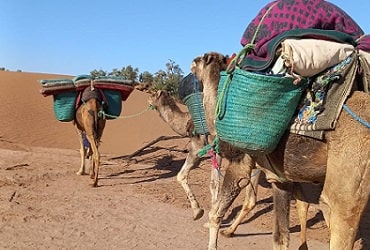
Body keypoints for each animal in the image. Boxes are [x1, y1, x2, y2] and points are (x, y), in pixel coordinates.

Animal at [191, 51, 370, 249]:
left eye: (200, 59)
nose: (192, 62)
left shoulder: (241, 163)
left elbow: (215, 214)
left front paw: (221, 230)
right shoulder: (281, 178)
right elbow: (282, 234)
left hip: (348, 180)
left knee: (339, 216)